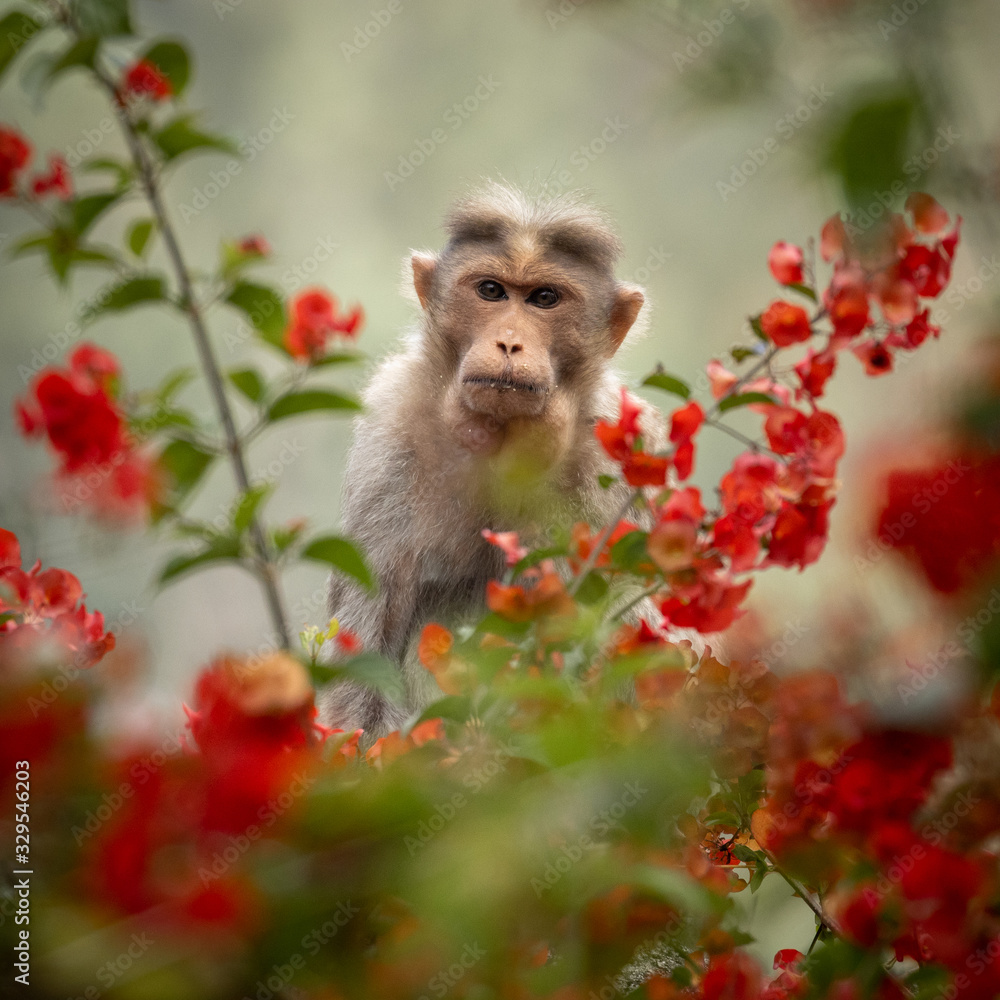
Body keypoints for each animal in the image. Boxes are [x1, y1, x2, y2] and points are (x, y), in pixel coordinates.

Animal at [317, 182, 667, 741]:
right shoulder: (388, 440)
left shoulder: (618, 457)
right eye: (490, 291)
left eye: (545, 298)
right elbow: (368, 657)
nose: (509, 342)